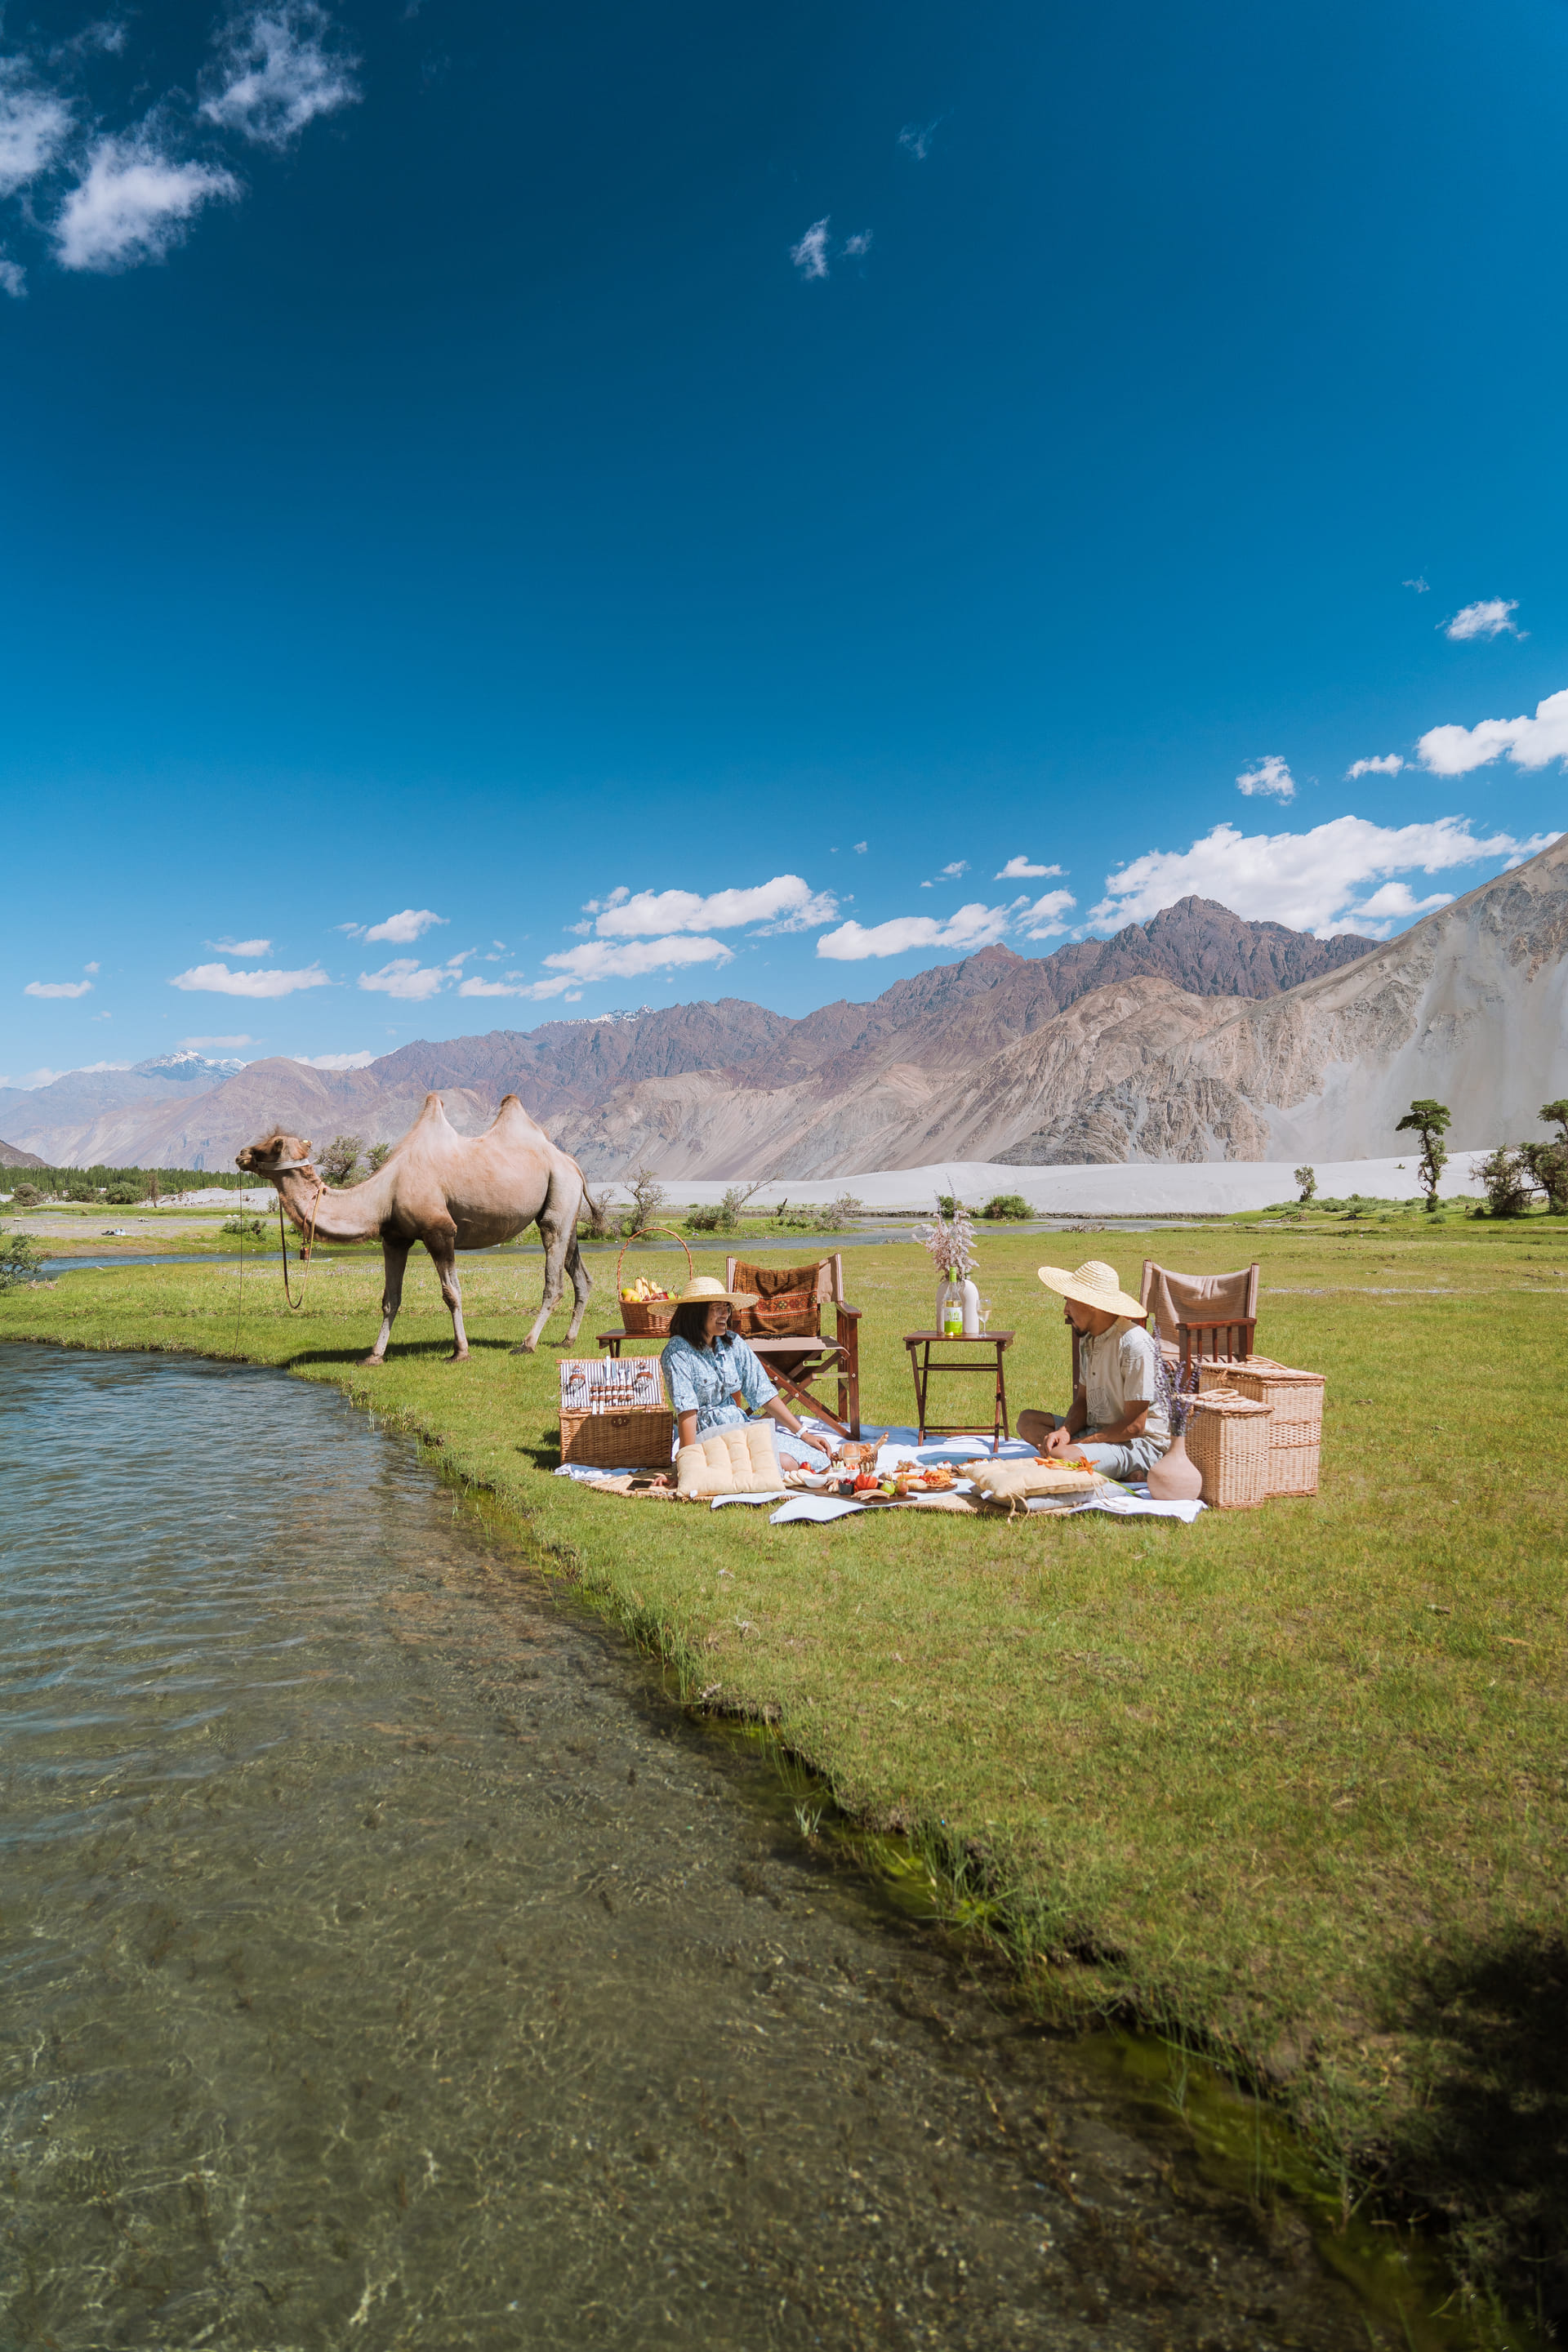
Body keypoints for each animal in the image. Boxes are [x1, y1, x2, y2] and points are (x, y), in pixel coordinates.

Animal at [236, 1092, 593, 1364]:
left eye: (274, 1144)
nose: (241, 1154)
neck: (385, 1193)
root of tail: (572, 1164)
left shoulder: (440, 1231)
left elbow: (452, 1293)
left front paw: (460, 1353)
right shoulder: (395, 1238)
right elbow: (390, 1298)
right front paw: (374, 1356)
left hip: (558, 1199)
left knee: (553, 1280)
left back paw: (526, 1344)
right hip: (567, 1210)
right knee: (581, 1276)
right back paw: (566, 1340)